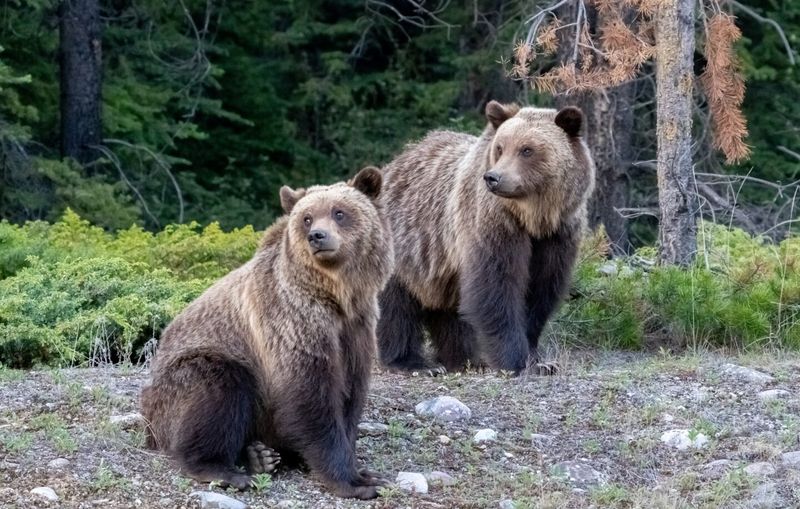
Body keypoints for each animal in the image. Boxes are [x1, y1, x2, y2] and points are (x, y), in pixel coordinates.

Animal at [143, 168, 396, 500]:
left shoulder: (357, 328)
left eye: (339, 212)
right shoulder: (293, 321)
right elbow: (311, 396)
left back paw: (260, 456)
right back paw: (226, 470)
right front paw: (356, 481)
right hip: (185, 379)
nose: (317, 236)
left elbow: (350, 396)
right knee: (218, 388)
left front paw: (363, 469)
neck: (337, 296)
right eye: (307, 218)